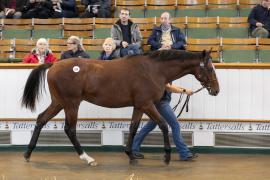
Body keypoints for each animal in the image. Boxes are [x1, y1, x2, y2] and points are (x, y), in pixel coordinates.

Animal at [21, 49, 219, 166]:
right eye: (210, 69)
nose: (216, 90)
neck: (154, 69)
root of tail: (54, 64)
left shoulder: (139, 106)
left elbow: (133, 128)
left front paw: (131, 155)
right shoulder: (147, 104)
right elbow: (163, 125)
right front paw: (167, 156)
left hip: (59, 102)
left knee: (41, 119)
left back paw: (28, 153)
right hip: (71, 104)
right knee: (69, 129)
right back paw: (87, 158)